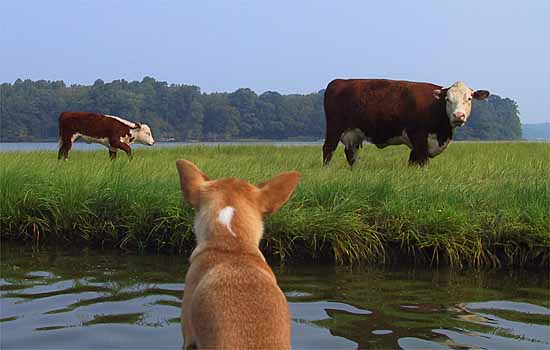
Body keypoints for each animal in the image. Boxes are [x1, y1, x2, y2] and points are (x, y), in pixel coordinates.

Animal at [324, 79, 492, 167]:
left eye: (469, 98)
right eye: (447, 99)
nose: (458, 115)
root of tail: (339, 82)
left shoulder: (417, 145)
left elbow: (413, 161)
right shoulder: (418, 137)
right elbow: (422, 162)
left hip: (354, 134)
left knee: (351, 154)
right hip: (334, 129)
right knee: (328, 149)